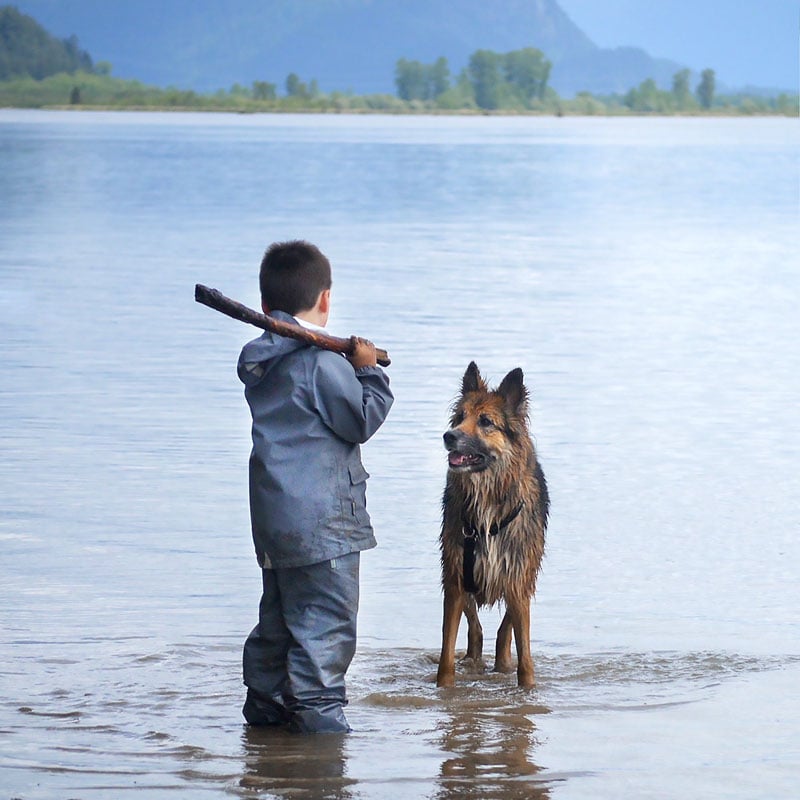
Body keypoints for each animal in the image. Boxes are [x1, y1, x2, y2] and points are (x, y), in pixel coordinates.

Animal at [434, 362, 548, 688]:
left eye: (486, 421)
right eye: (460, 417)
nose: (449, 436)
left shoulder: (517, 579)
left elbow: (524, 653)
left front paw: (527, 688)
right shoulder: (455, 579)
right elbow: (447, 651)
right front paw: (444, 687)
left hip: (526, 573)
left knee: (504, 630)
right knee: (475, 627)